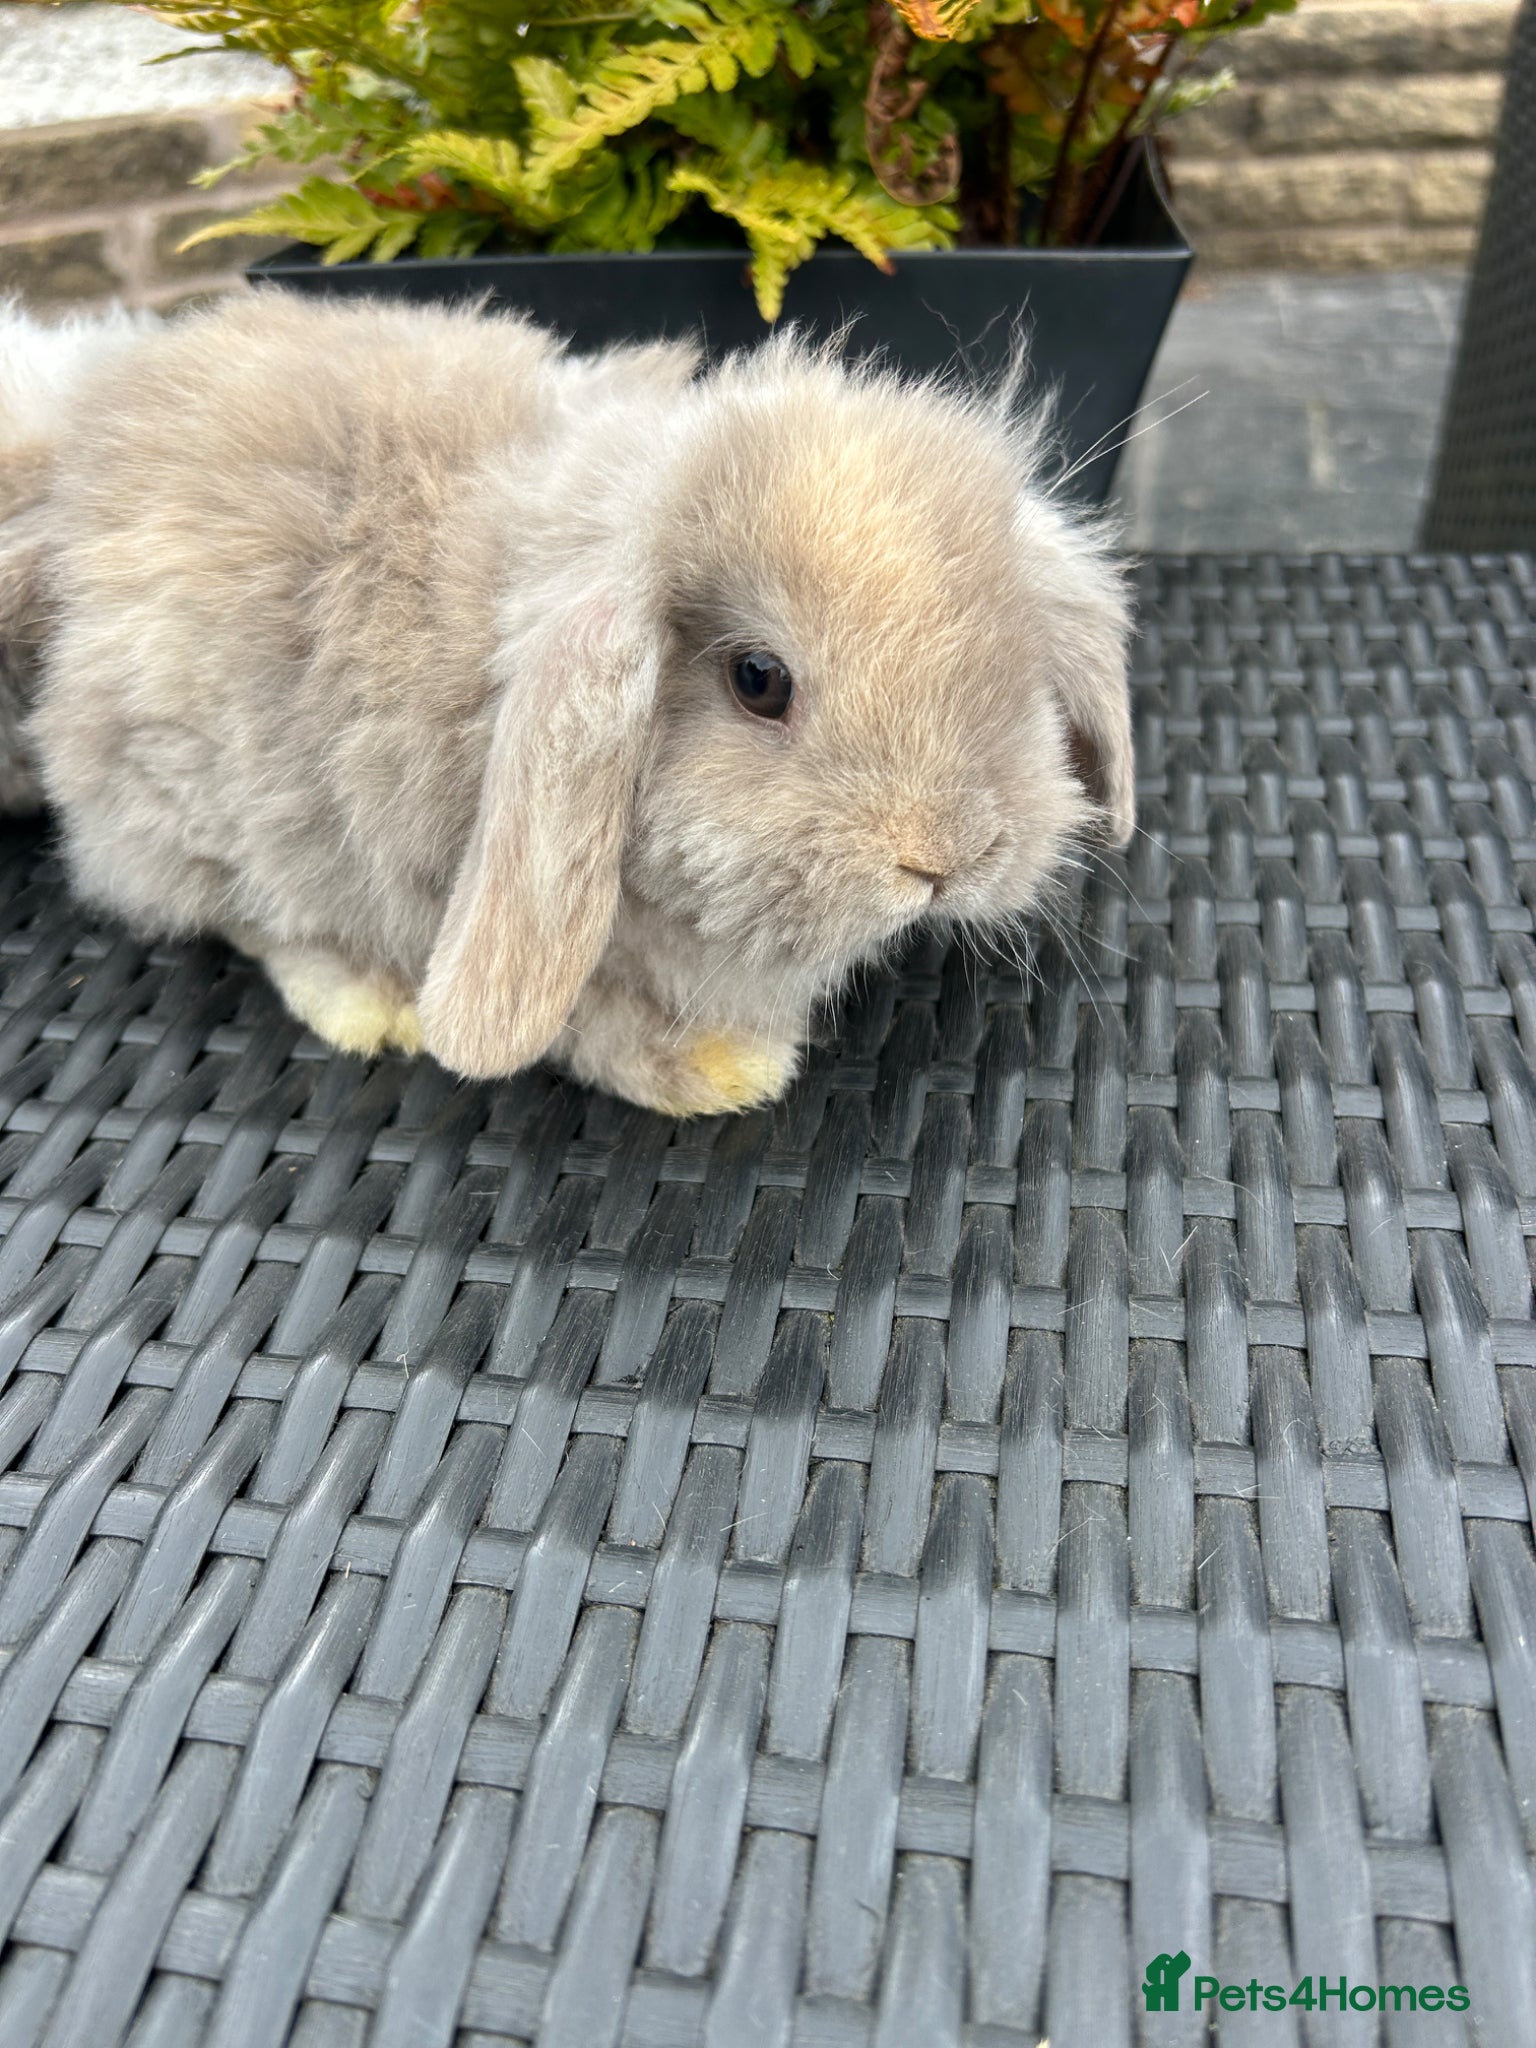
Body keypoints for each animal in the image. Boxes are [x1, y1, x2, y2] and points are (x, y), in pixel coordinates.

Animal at [0, 288, 1132, 1116]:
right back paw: (371, 1003)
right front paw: (720, 1072)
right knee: (253, 919)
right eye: (758, 680)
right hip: (212, 808)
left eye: (1014, 661)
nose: (946, 856)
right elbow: (589, 1024)